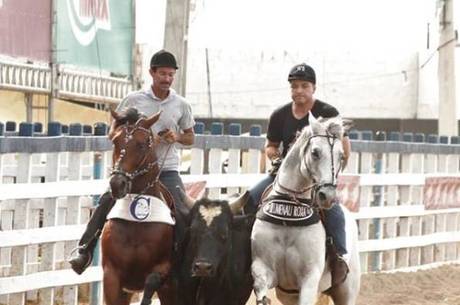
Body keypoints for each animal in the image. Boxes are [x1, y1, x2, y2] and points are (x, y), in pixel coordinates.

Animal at [102, 108, 176, 304]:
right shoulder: (111, 275)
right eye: (115, 141)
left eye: (142, 145)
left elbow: (152, 281)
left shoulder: (164, 268)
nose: (117, 183)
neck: (137, 223)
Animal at [250, 114, 362, 304]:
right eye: (315, 152)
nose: (327, 196)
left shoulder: (310, 279)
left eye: (341, 156)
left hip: (347, 291)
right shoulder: (263, 269)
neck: (288, 217)